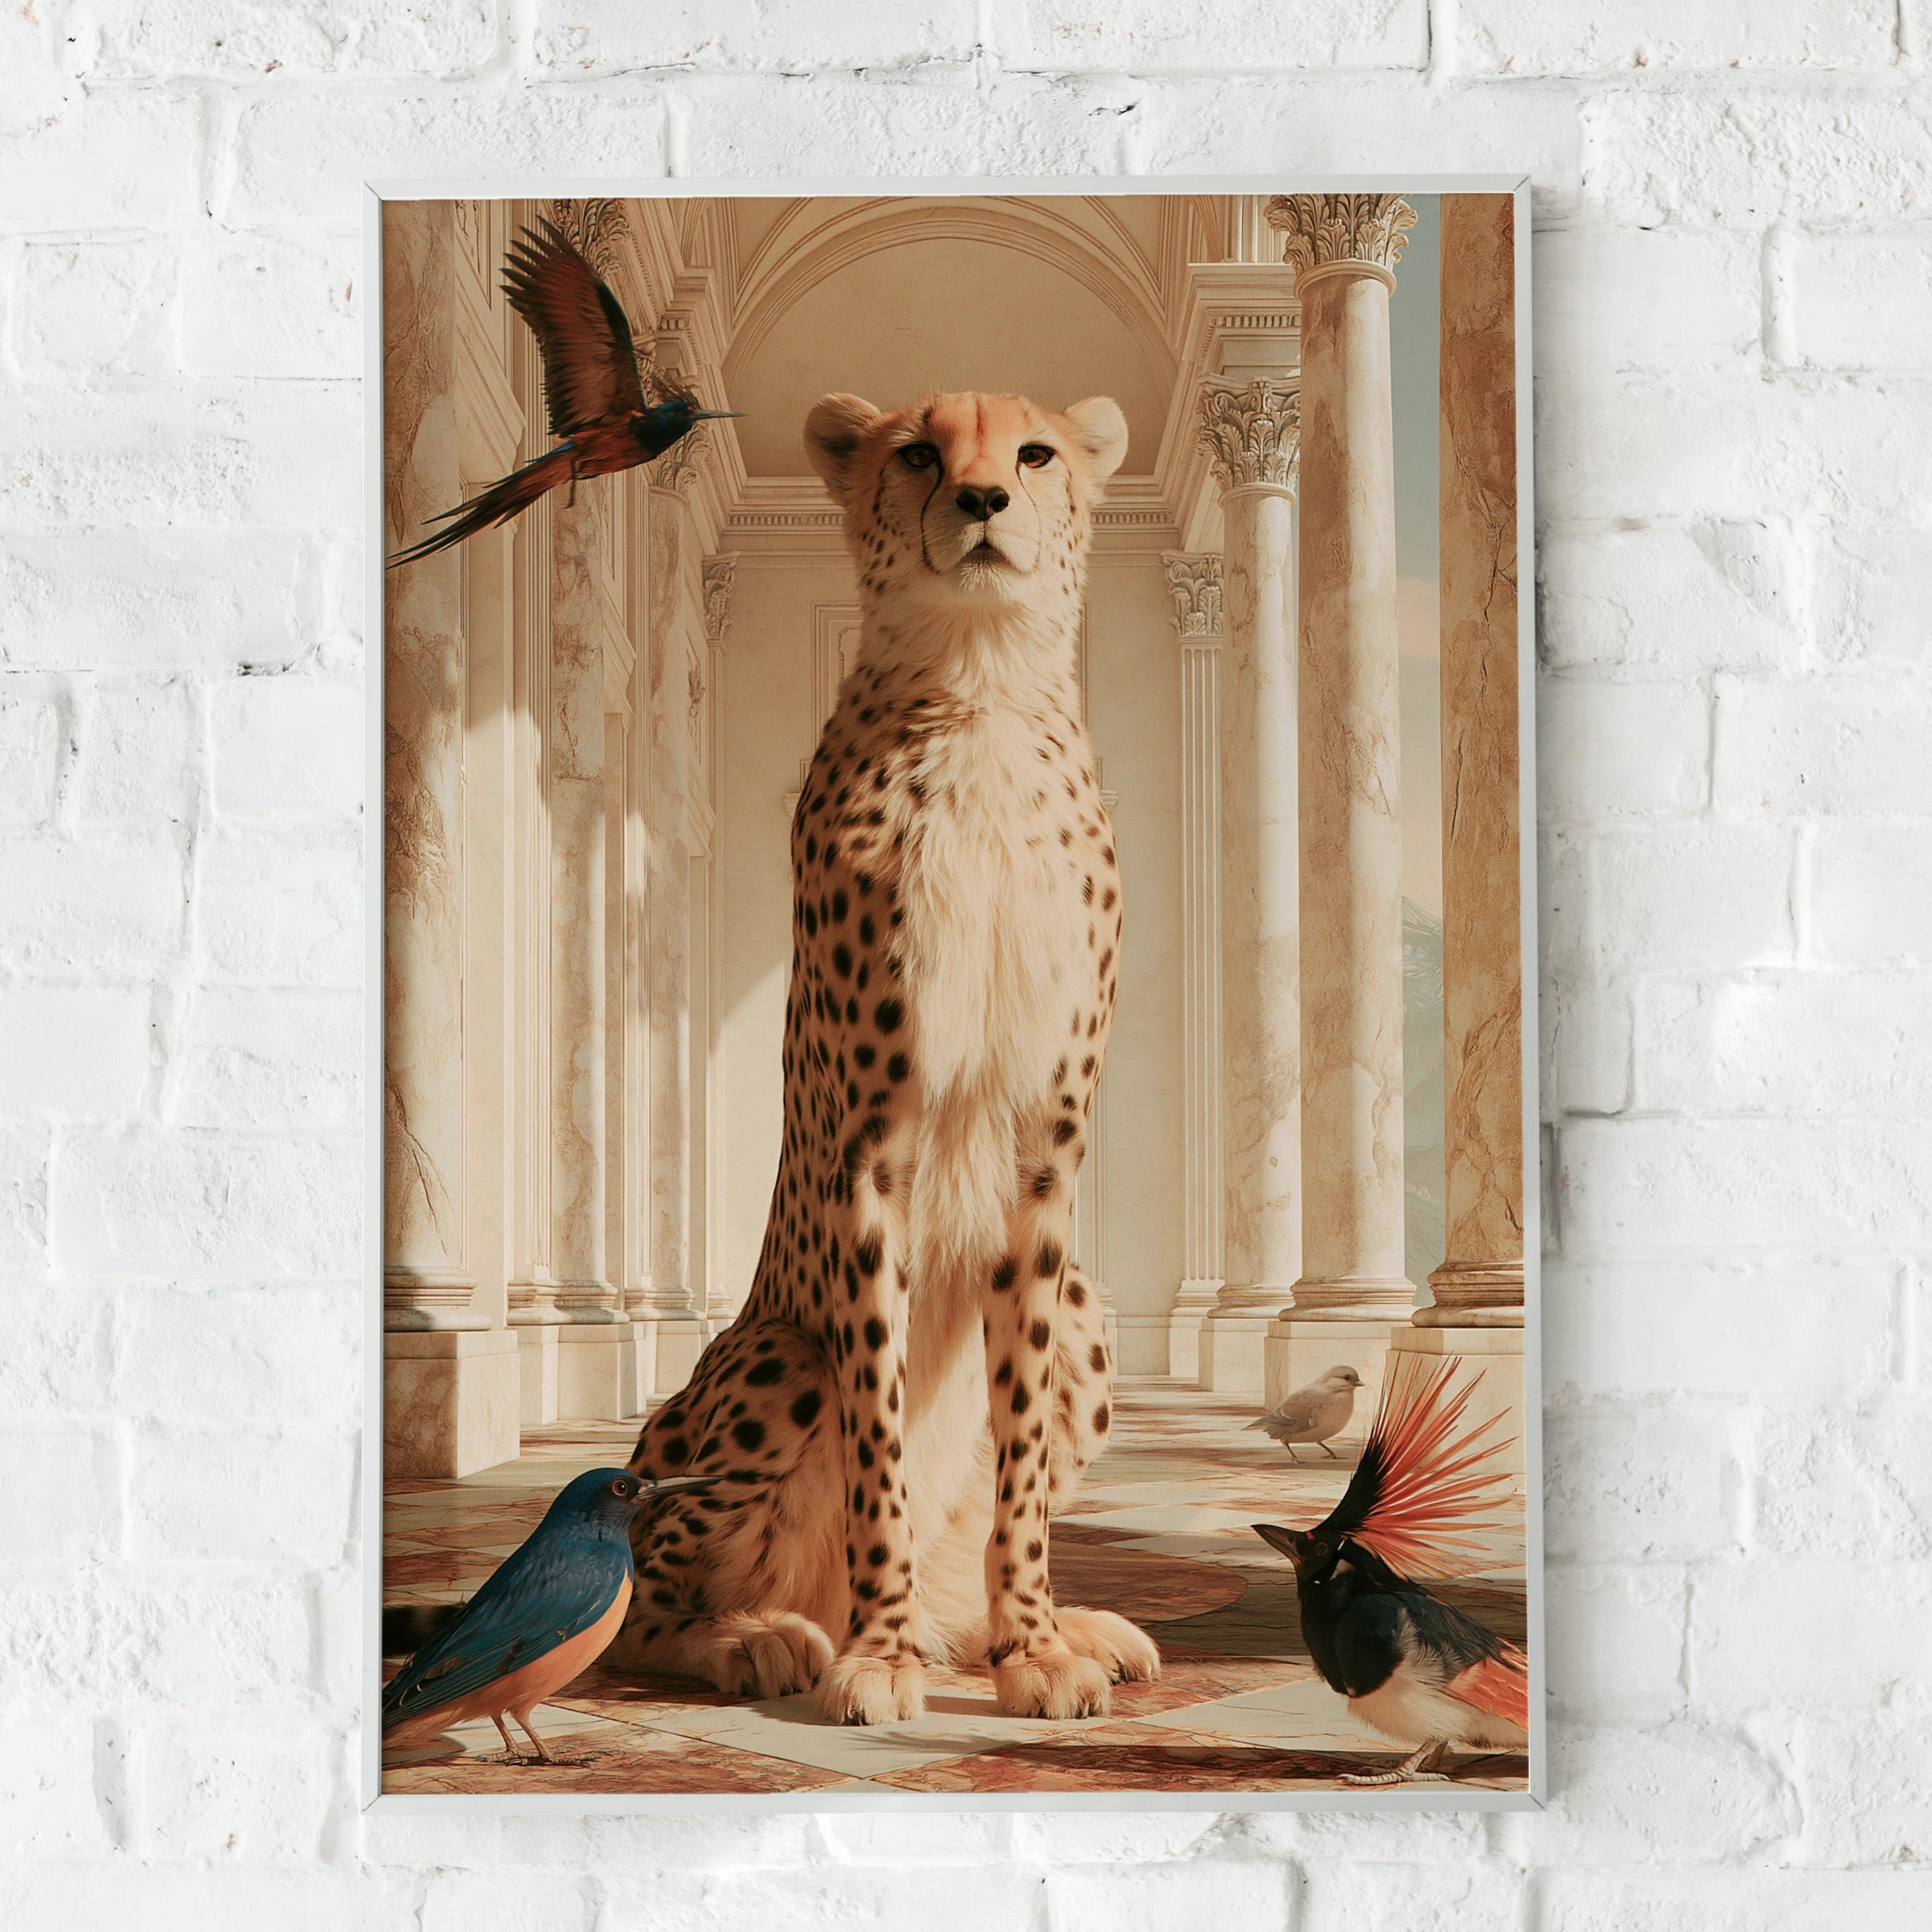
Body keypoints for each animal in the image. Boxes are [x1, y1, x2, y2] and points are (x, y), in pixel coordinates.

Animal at [613, 388, 1161, 1725]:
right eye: (917, 451)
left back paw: (1044, 1625)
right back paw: (760, 1637)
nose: (982, 498)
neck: (980, 694)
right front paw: (881, 1652)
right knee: (634, 1592)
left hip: (1089, 1320)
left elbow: (1013, 1466)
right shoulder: (873, 1155)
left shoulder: (1044, 1158)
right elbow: (882, 1434)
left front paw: (1030, 1645)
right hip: (776, 1357)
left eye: (1035, 453)